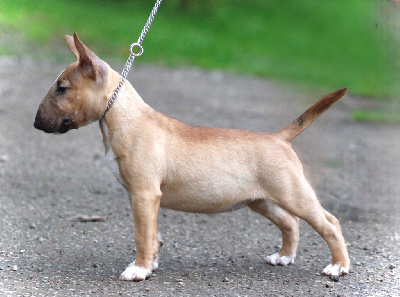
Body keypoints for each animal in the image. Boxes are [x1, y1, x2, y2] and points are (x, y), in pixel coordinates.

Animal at [36, 33, 352, 280]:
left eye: (62, 88)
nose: (36, 124)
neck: (125, 117)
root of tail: (279, 137)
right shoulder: (144, 198)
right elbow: (153, 234)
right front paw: (150, 265)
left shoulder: (144, 194)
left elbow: (142, 235)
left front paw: (138, 270)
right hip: (261, 200)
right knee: (290, 222)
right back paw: (284, 257)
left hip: (293, 192)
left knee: (329, 222)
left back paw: (338, 266)